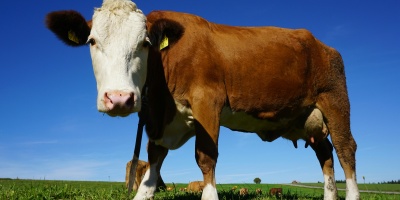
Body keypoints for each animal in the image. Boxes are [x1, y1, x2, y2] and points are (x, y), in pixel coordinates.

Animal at [46, 0, 360, 199]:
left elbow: (206, 157)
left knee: (345, 150)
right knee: (325, 154)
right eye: (92, 41)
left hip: (335, 101)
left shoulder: (208, 102)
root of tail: (323, 45)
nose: (120, 98)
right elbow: (153, 164)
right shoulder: (162, 121)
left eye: (144, 43)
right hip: (306, 118)